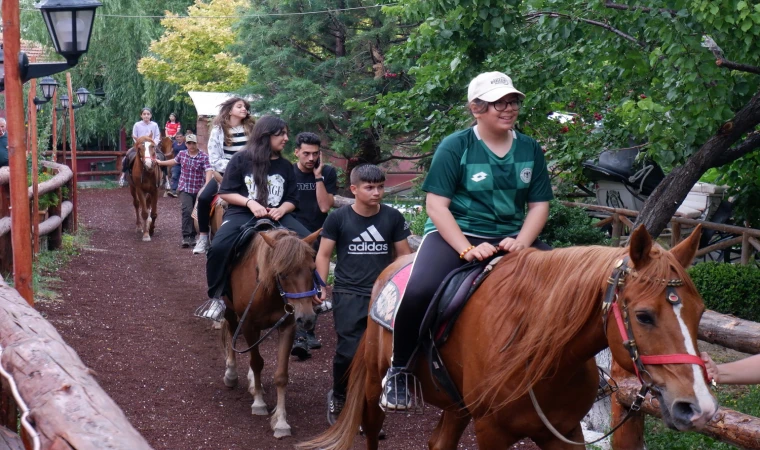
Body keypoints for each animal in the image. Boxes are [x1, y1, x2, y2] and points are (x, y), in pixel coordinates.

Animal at [223, 227, 324, 438]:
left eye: (312, 269)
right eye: (282, 274)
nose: (308, 318)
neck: (268, 290)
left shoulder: (288, 326)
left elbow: (281, 375)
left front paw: (281, 422)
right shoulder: (248, 325)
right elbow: (257, 362)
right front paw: (259, 403)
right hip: (230, 309)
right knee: (230, 330)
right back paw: (231, 373)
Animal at [300, 227, 716, 450]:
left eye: (700, 313)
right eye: (644, 315)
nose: (698, 407)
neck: (541, 352)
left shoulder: (565, 432)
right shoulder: (491, 433)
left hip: (457, 404)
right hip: (374, 385)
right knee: (371, 428)